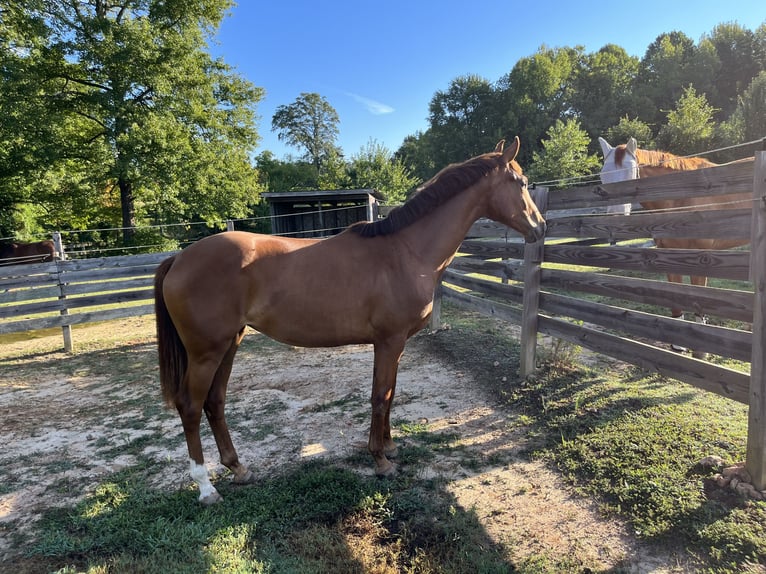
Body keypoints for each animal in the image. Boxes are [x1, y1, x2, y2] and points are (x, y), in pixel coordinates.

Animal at [154, 137, 544, 506]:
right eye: (522, 182)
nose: (540, 227)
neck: (405, 251)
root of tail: (179, 259)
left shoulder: (395, 344)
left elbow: (389, 393)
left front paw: (389, 447)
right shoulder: (389, 340)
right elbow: (379, 396)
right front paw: (381, 461)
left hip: (229, 344)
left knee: (215, 403)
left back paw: (238, 468)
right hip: (206, 352)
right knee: (190, 407)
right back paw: (206, 488)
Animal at [600, 138, 752, 358]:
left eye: (630, 173)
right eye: (603, 174)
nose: (615, 218)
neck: (681, 198)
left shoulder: (701, 259)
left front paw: (700, 351)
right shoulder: (668, 256)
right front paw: (678, 345)